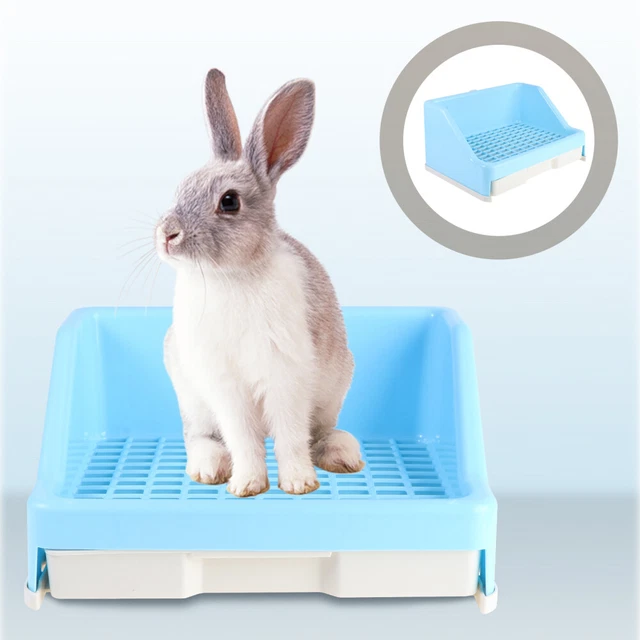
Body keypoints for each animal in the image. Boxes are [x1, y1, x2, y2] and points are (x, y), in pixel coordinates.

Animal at [155, 69, 364, 497]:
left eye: (229, 201)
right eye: (181, 188)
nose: (166, 235)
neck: (231, 276)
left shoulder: (286, 376)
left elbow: (290, 436)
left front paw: (299, 483)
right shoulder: (225, 386)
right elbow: (243, 438)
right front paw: (247, 485)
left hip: (333, 390)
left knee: (319, 432)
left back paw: (343, 456)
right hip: (193, 400)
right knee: (199, 437)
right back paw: (209, 469)